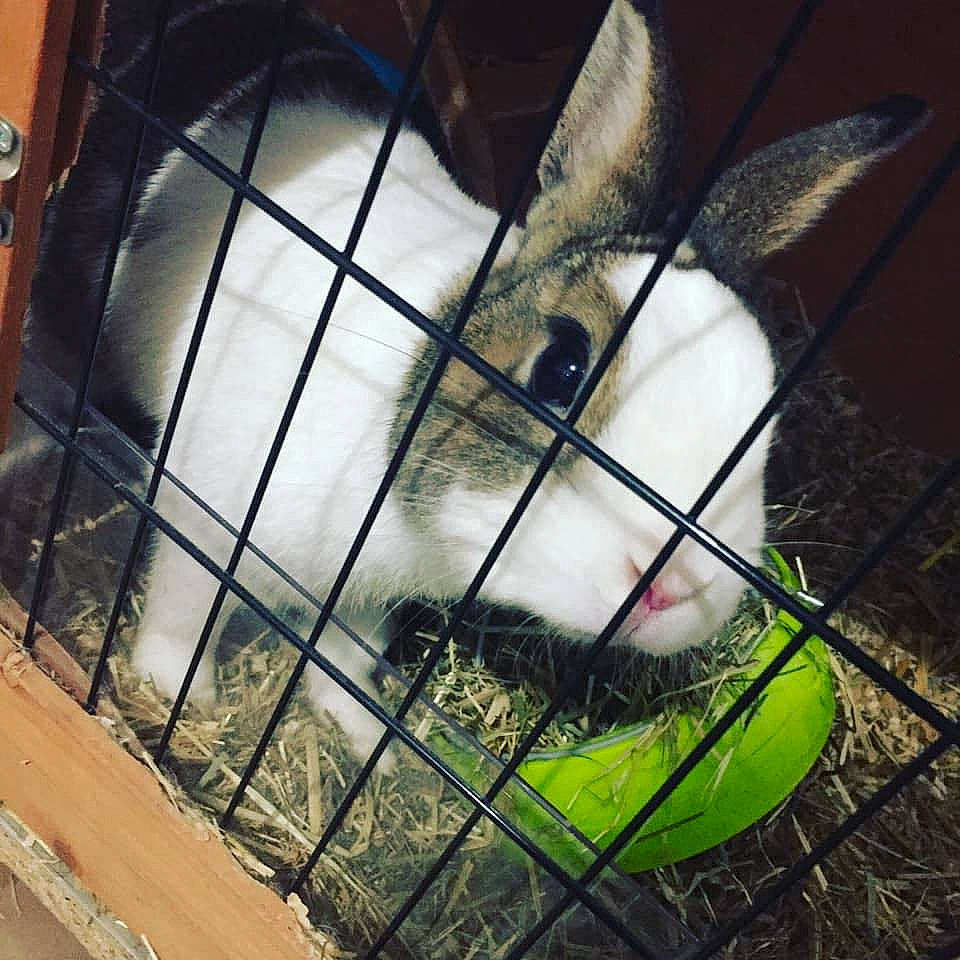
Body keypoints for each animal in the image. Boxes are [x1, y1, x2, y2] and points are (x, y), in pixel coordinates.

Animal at [25, 0, 927, 765]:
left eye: (769, 426)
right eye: (562, 367)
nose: (678, 589)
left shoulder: (365, 595)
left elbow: (346, 648)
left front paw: (365, 735)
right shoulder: (202, 511)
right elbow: (185, 608)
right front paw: (177, 696)